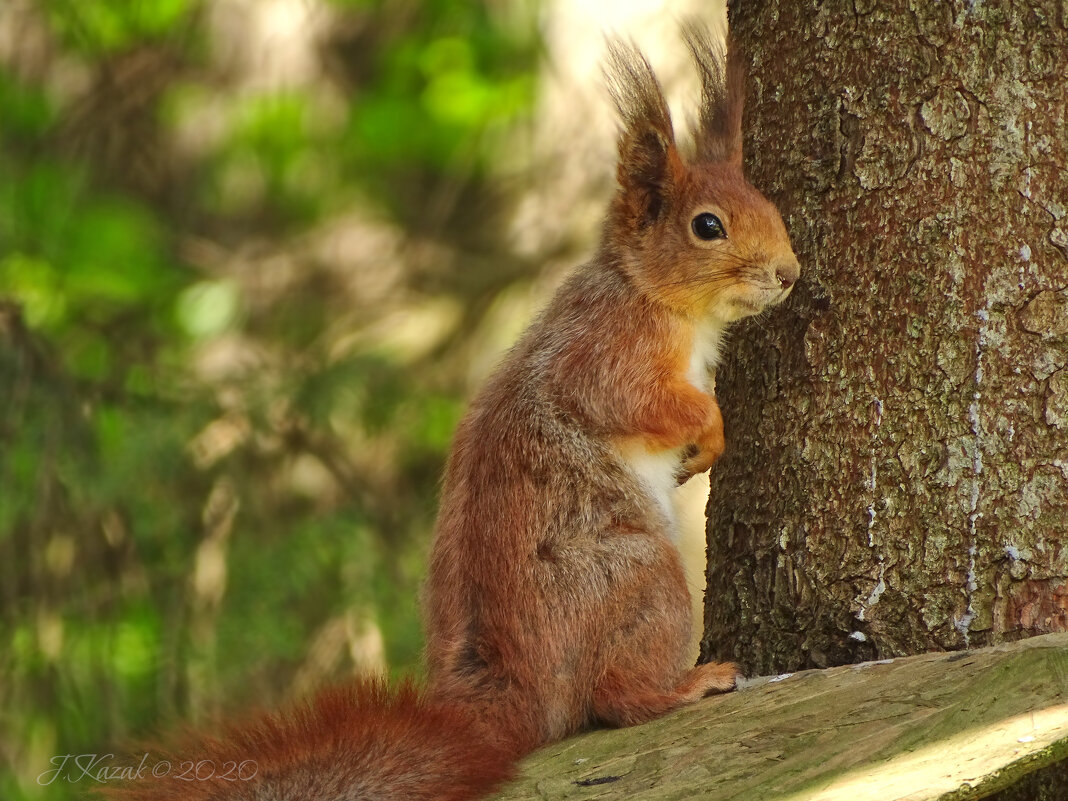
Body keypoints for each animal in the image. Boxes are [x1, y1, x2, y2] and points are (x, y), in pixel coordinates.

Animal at [108, 25, 798, 801]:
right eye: (707, 226)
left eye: (766, 202)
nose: (789, 273)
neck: (650, 294)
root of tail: (510, 703)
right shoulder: (607, 355)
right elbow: (642, 403)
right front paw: (710, 433)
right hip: (643, 578)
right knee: (618, 697)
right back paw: (690, 683)